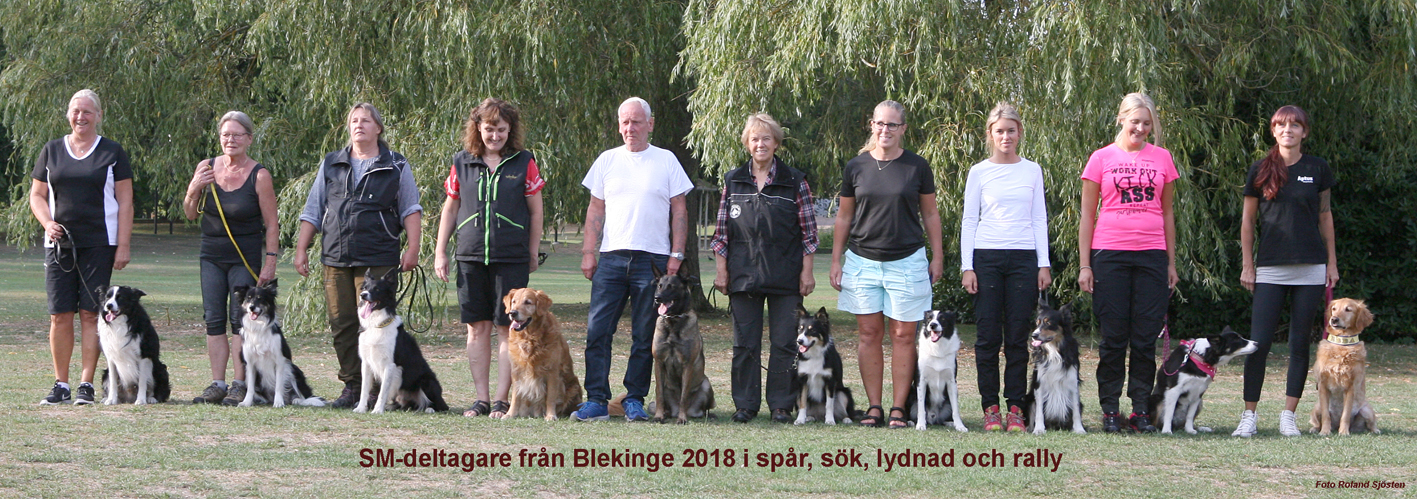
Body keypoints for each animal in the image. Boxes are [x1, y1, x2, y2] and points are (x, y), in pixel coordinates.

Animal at [353, 269, 449, 414]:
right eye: (364, 288)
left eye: (377, 289)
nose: (363, 295)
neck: (377, 325)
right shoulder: (366, 362)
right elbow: (364, 389)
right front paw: (361, 408)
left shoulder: (390, 364)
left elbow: (383, 391)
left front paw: (377, 410)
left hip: (427, 381)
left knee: (441, 406)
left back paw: (429, 409)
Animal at [502, 288, 583, 420]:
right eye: (514, 302)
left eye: (528, 302)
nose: (512, 313)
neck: (530, 337)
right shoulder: (516, 370)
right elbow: (515, 396)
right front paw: (510, 414)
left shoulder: (552, 371)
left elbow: (550, 397)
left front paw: (550, 415)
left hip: (573, 388)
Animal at [649, 267, 714, 423]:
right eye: (659, 285)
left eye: (671, 287)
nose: (657, 298)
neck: (673, 320)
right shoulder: (658, 362)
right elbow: (659, 394)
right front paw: (658, 416)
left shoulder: (687, 364)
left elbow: (684, 395)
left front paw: (682, 418)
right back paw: (666, 413)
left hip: (706, 385)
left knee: (705, 410)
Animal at [1022, 300, 1085, 434]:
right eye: (1037, 323)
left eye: (1048, 323)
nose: (1034, 335)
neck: (1054, 350)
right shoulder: (1039, 384)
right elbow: (1039, 411)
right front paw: (1039, 429)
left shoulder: (1073, 382)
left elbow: (1076, 410)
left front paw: (1079, 429)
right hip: (1029, 399)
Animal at [1310, 298, 1379, 435]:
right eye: (1334, 309)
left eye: (1348, 309)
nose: (1334, 319)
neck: (1342, 345)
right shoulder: (1322, 385)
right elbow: (1326, 415)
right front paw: (1324, 431)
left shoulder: (1350, 387)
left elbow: (1345, 414)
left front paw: (1343, 432)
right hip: (1317, 407)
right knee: (1316, 420)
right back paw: (1315, 429)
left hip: (1366, 409)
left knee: (1371, 424)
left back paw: (1375, 430)